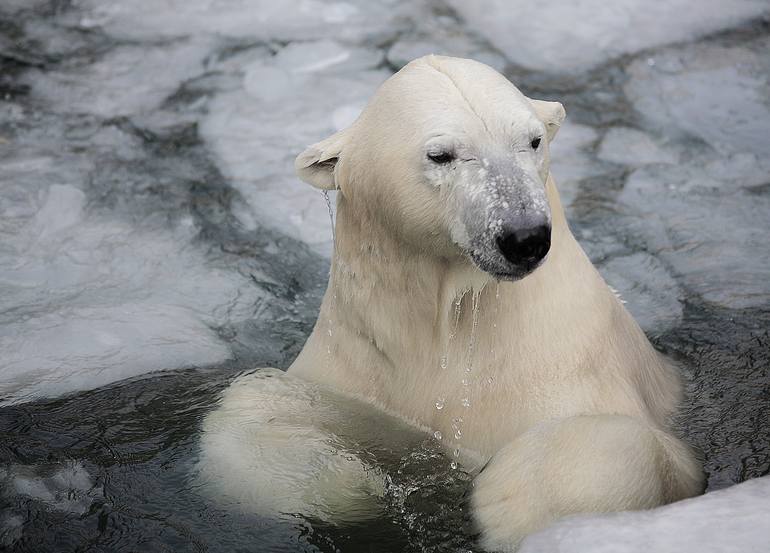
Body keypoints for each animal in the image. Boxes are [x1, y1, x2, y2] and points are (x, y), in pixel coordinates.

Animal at [198, 56, 704, 548]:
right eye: (441, 154)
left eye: (533, 140)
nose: (524, 236)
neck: (449, 335)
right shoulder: (357, 373)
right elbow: (256, 411)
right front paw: (351, 480)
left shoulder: (572, 374)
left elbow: (629, 452)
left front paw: (510, 501)